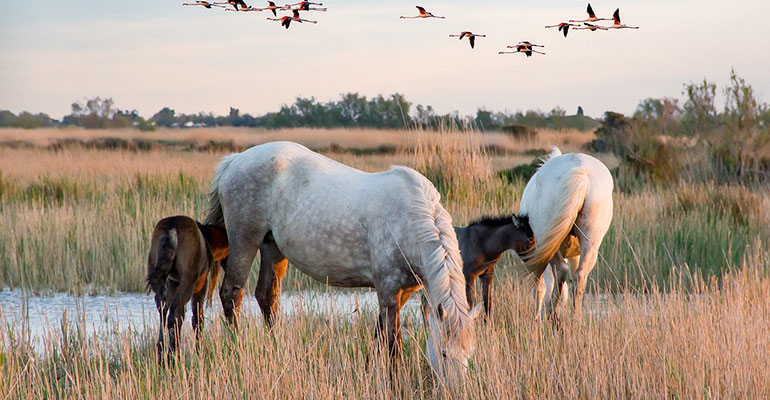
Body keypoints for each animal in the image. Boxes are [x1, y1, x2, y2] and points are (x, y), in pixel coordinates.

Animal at [145, 215, 229, 362]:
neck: (209, 242)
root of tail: (171, 230)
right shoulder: (201, 284)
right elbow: (197, 319)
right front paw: (199, 352)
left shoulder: (173, 283)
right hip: (189, 279)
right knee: (175, 313)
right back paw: (173, 356)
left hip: (158, 275)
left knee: (164, 309)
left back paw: (162, 353)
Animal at [204, 141, 482, 384]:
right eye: (444, 353)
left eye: (469, 355)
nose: (455, 390)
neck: (410, 219)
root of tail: (234, 160)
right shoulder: (389, 290)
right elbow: (393, 341)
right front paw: (395, 380)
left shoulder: (400, 293)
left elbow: (379, 333)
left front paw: (369, 371)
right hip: (244, 240)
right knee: (232, 295)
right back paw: (238, 349)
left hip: (272, 248)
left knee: (266, 297)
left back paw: (276, 349)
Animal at [517, 146, 613, 320]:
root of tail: (582, 173)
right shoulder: (574, 254)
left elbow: (540, 287)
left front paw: (536, 317)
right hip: (590, 241)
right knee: (580, 276)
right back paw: (576, 317)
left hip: (547, 241)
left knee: (561, 270)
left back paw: (553, 313)